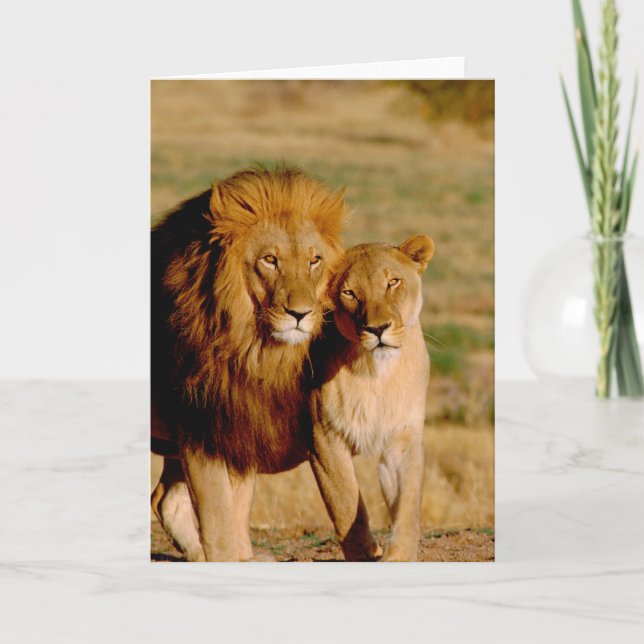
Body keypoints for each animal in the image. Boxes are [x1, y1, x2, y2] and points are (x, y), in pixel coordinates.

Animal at [151, 166, 345, 561]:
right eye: (270, 259)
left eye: (314, 260)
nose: (301, 314)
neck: (253, 349)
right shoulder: (200, 431)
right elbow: (220, 523)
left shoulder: (238, 428)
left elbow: (236, 518)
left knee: (165, 501)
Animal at [309, 235, 434, 561]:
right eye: (350, 293)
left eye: (392, 282)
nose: (377, 329)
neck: (376, 374)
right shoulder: (324, 440)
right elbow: (345, 505)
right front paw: (366, 554)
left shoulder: (403, 437)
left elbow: (408, 505)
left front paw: (399, 555)